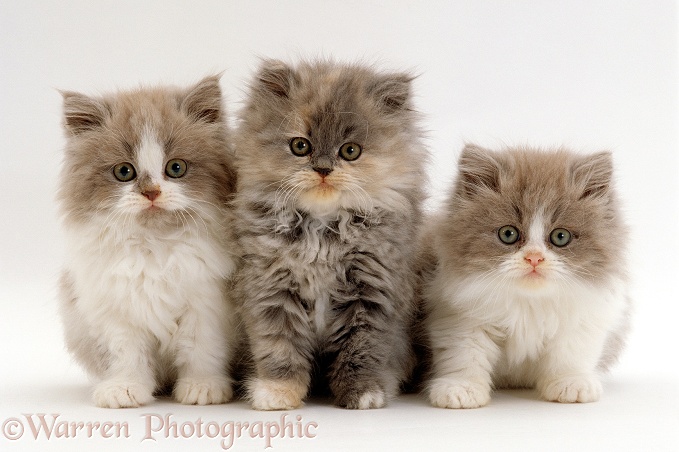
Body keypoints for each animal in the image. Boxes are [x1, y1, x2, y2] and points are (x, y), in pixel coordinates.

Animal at [232, 59, 424, 410]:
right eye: (300, 146)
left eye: (350, 151)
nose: (323, 169)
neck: (322, 229)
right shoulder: (270, 288)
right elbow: (279, 347)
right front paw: (278, 392)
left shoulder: (373, 291)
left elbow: (362, 350)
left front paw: (363, 392)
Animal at [424, 146, 632, 410]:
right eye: (508, 234)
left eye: (560, 236)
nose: (534, 258)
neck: (530, 302)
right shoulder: (460, 318)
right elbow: (464, 354)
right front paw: (462, 388)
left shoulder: (583, 319)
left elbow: (571, 354)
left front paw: (571, 383)